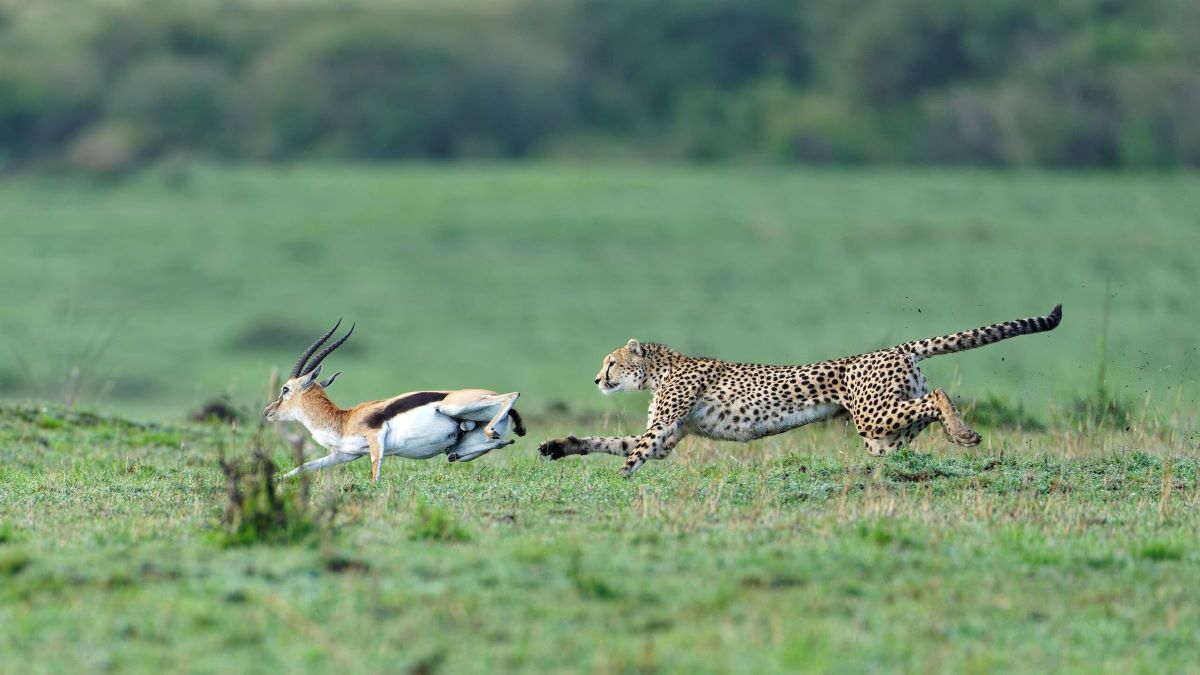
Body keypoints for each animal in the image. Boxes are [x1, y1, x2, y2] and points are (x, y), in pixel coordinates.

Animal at [540, 302, 1065, 475]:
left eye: (611, 362)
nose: (597, 379)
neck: (659, 368)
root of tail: (896, 347)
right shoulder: (670, 434)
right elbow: (609, 442)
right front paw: (560, 445)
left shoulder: (663, 429)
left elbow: (631, 456)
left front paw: (616, 484)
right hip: (880, 432)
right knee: (919, 417)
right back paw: (953, 437)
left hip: (872, 415)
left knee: (936, 399)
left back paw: (964, 434)